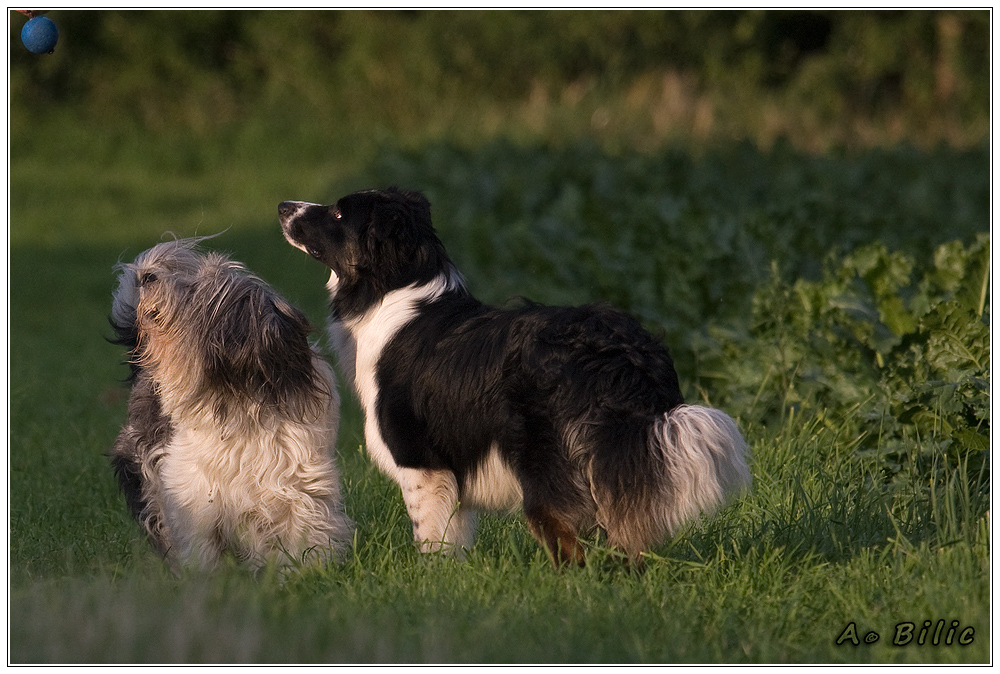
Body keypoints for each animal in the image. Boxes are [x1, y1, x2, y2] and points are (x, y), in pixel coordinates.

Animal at [107, 239, 352, 568]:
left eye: (194, 288)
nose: (147, 275)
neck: (239, 402)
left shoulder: (298, 485)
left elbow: (303, 533)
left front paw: (304, 571)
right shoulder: (193, 492)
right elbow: (202, 547)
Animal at [278, 188, 748, 560]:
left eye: (340, 215)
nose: (283, 206)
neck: (392, 289)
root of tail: (621, 353)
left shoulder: (420, 461)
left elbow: (431, 538)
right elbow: (454, 535)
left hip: (544, 465)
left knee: (571, 543)